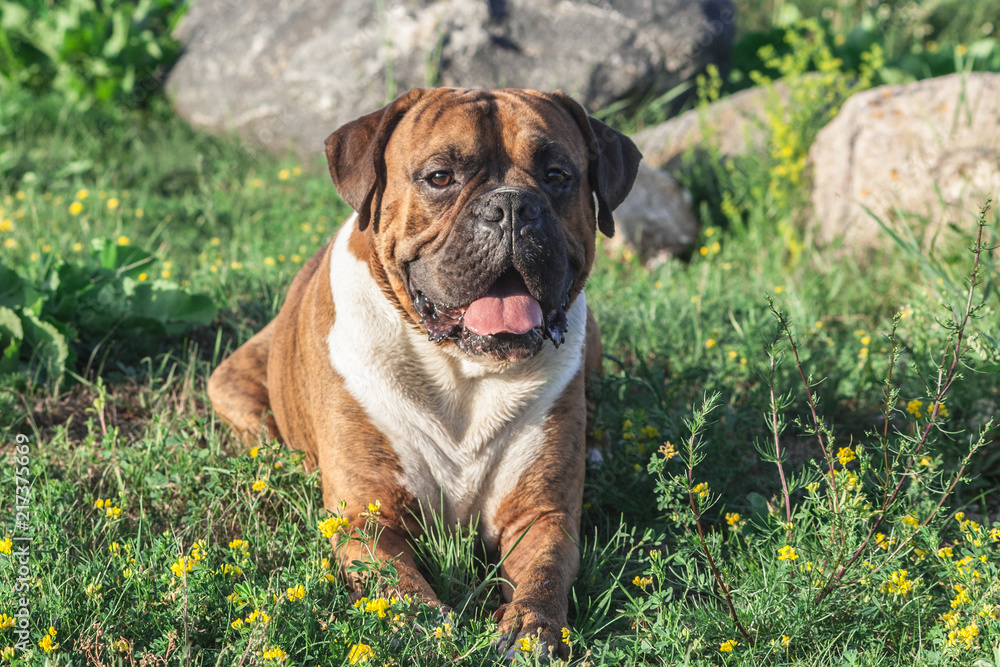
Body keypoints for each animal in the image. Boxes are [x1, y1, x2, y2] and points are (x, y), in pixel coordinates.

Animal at [208, 88, 640, 656]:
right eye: (440, 177)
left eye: (556, 175)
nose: (511, 207)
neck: (462, 370)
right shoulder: (369, 519)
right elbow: (397, 586)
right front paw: (421, 626)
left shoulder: (541, 514)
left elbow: (544, 574)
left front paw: (531, 630)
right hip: (233, 388)